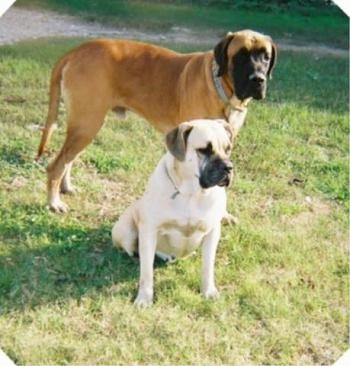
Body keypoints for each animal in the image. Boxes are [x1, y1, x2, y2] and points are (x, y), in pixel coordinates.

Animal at [36, 29, 276, 212]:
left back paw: (66, 188)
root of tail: (76, 51)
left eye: (265, 56)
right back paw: (54, 202)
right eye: (241, 56)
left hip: (84, 125)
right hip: (87, 124)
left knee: (68, 159)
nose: (258, 80)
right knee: (56, 165)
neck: (223, 88)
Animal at [112, 119, 234, 306]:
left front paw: (208, 291)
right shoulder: (149, 230)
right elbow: (146, 273)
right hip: (125, 230)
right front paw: (144, 298)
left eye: (228, 148)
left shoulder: (212, 232)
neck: (191, 194)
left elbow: (207, 266)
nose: (229, 167)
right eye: (204, 150)